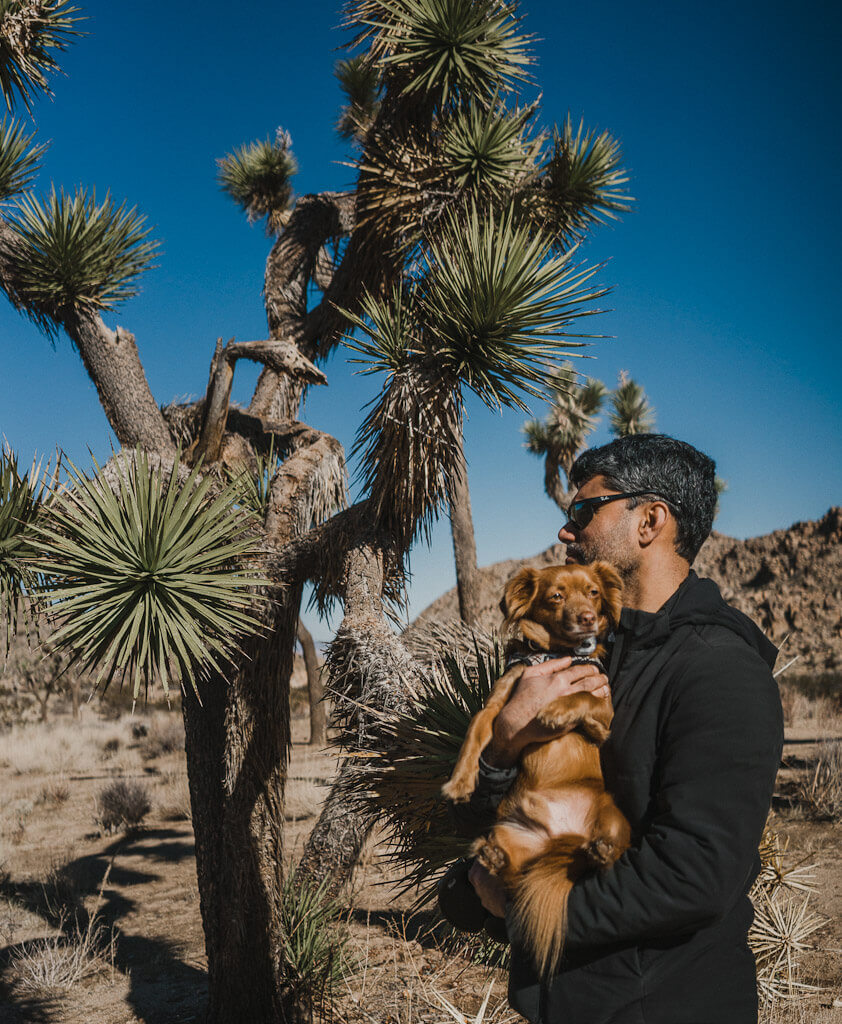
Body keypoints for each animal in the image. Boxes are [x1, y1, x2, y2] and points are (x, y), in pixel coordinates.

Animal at [442, 565, 630, 970]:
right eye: (556, 596)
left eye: (593, 592)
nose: (587, 618)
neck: (555, 653)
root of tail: (564, 841)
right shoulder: (497, 708)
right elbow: (473, 735)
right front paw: (460, 782)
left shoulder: (604, 710)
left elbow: (581, 696)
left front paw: (556, 710)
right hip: (511, 835)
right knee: (511, 871)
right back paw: (493, 856)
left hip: (612, 814)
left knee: (611, 849)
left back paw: (602, 849)